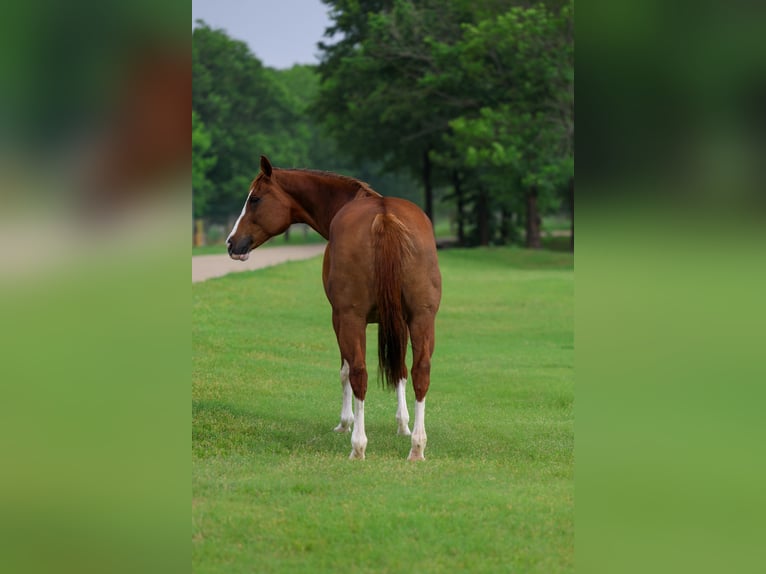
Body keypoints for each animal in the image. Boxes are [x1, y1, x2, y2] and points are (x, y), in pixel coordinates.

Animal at [226, 156, 442, 460]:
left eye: (255, 198)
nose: (232, 243)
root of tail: (384, 215)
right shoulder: (397, 320)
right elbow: (398, 368)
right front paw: (403, 425)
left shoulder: (338, 318)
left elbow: (345, 370)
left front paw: (345, 422)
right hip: (422, 317)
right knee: (420, 371)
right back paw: (417, 446)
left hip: (351, 318)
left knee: (359, 373)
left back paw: (358, 446)